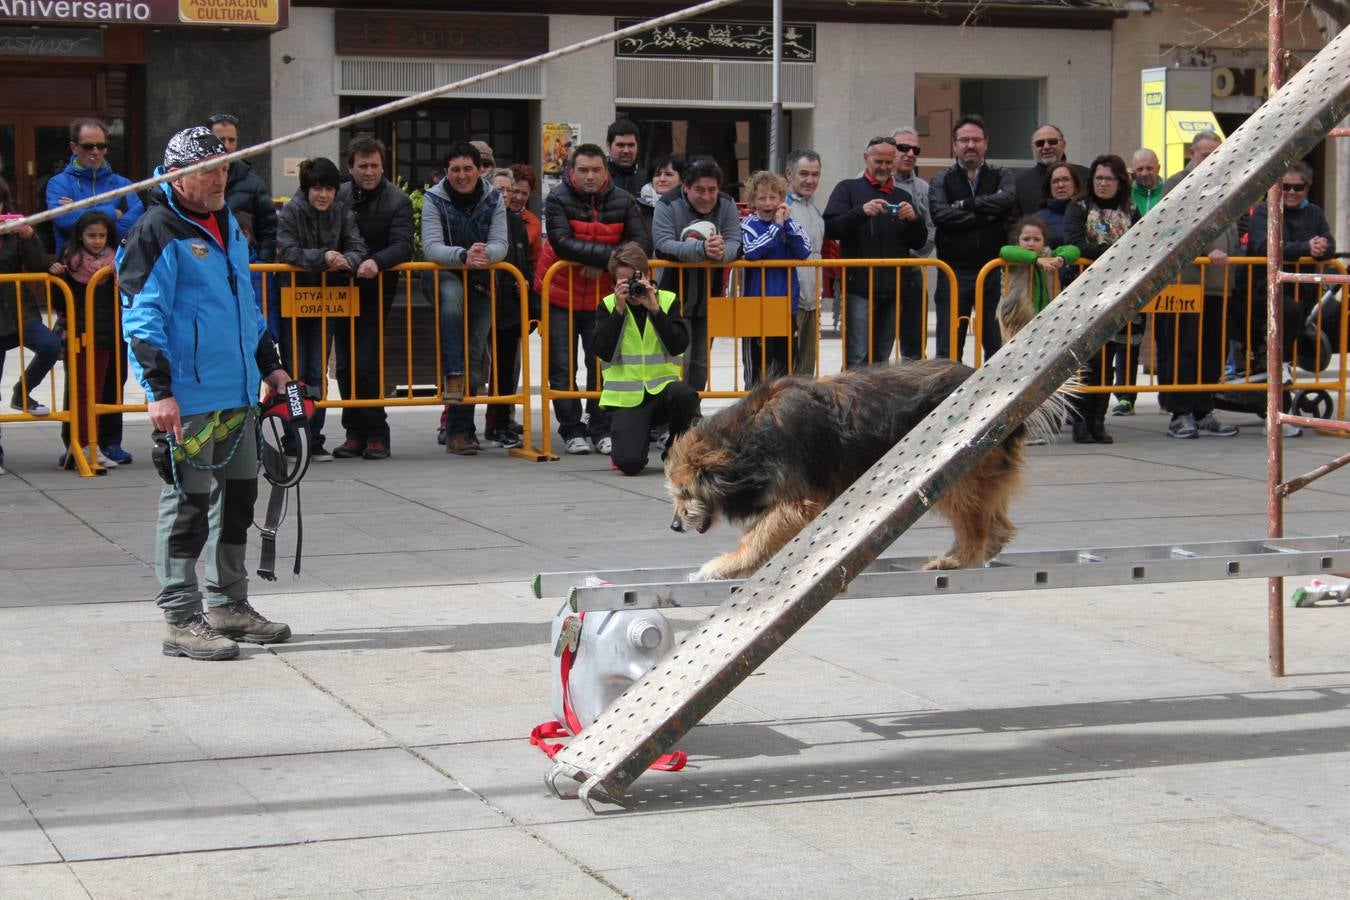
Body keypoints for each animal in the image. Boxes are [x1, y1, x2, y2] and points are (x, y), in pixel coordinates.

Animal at [664, 358, 1042, 585]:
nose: (675, 526)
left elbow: (755, 537)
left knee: (975, 528)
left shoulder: (797, 500)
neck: (744, 443)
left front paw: (720, 567)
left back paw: (951, 561)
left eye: (685, 492)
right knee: (997, 525)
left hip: (957, 473)